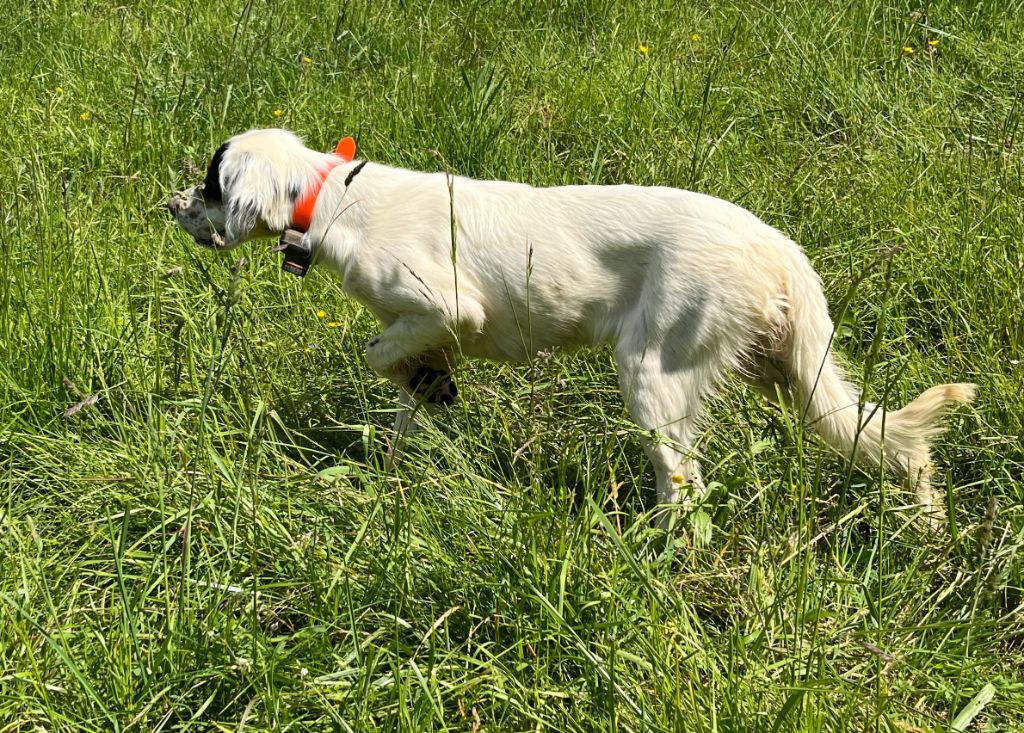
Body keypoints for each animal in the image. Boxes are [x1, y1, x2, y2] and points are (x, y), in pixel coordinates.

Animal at [169, 128, 974, 524]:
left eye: (209, 183)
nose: (169, 205)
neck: (332, 196)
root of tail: (778, 245)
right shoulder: (420, 325)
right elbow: (406, 391)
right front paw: (410, 430)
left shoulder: (444, 304)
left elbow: (377, 351)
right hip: (788, 371)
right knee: (896, 445)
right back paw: (930, 527)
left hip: (653, 371)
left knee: (686, 487)